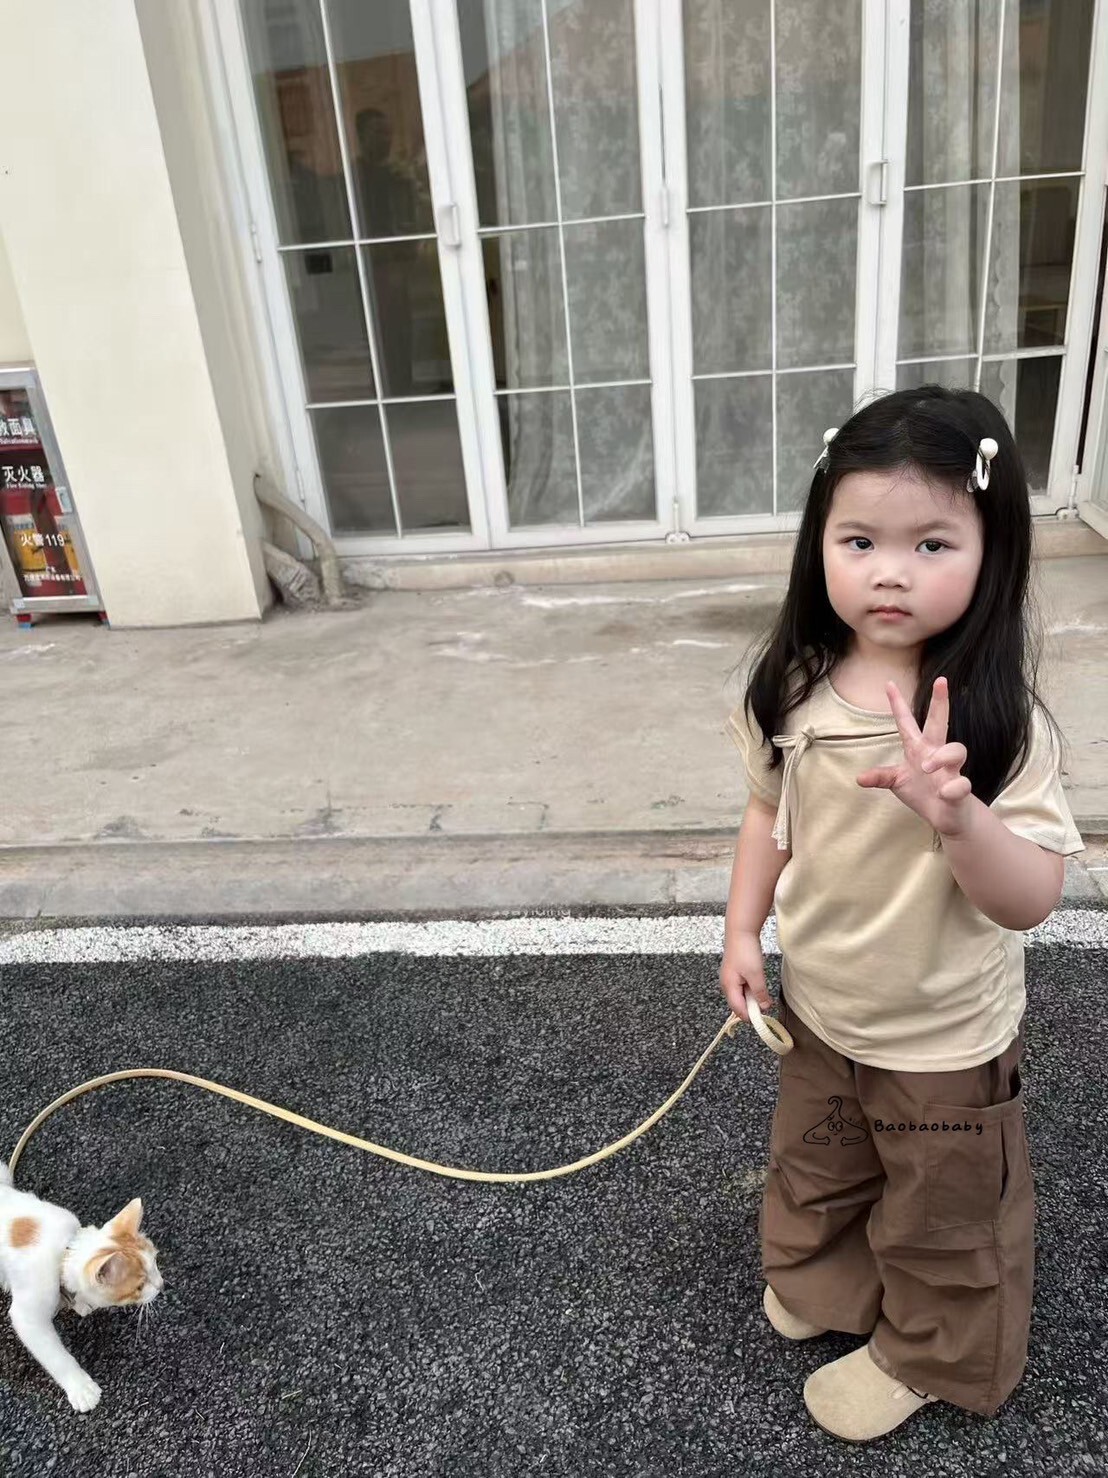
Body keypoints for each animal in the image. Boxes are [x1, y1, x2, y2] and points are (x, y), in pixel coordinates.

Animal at [0, 1161, 163, 1411]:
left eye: (155, 1261)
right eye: (140, 1285)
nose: (161, 1285)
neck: (63, 1253)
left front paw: (80, 1304)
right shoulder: (29, 1313)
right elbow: (55, 1355)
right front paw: (81, 1388)